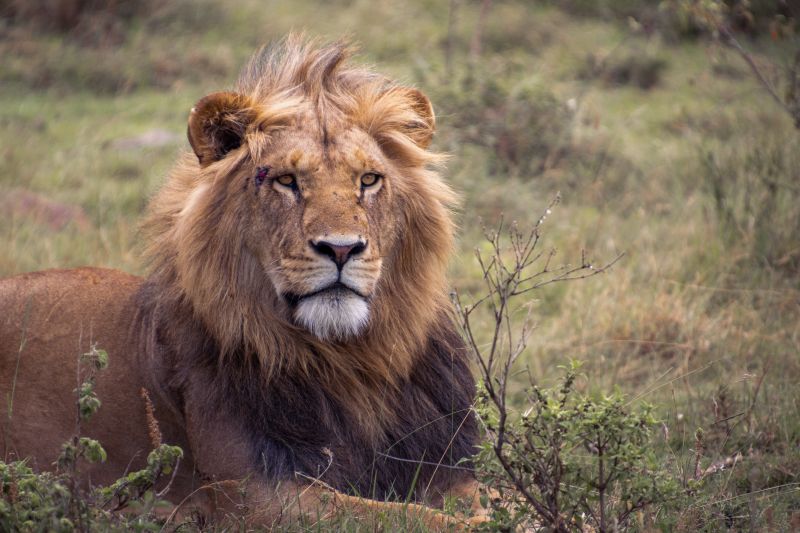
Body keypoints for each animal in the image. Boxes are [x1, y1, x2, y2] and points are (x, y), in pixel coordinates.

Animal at [0, 37, 482, 528]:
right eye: (286, 180)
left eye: (368, 180)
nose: (342, 249)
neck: (350, 362)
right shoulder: (254, 496)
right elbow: (406, 516)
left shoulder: (448, 466)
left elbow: (482, 502)